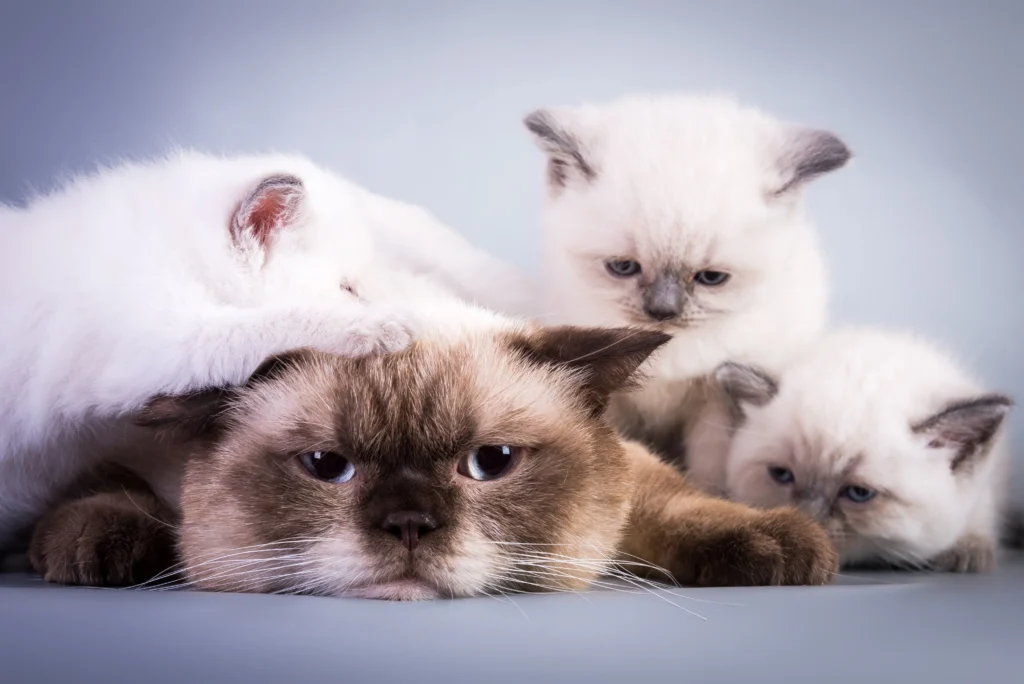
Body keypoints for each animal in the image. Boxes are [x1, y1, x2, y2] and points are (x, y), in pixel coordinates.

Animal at [0, 150, 540, 548]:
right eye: (347, 289)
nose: (378, 302)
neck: (174, 252)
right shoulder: (155, 340)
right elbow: (270, 322)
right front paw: (385, 325)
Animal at [524, 93, 851, 462]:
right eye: (623, 267)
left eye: (711, 277)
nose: (663, 311)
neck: (669, 353)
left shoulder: (716, 400)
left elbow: (708, 467)